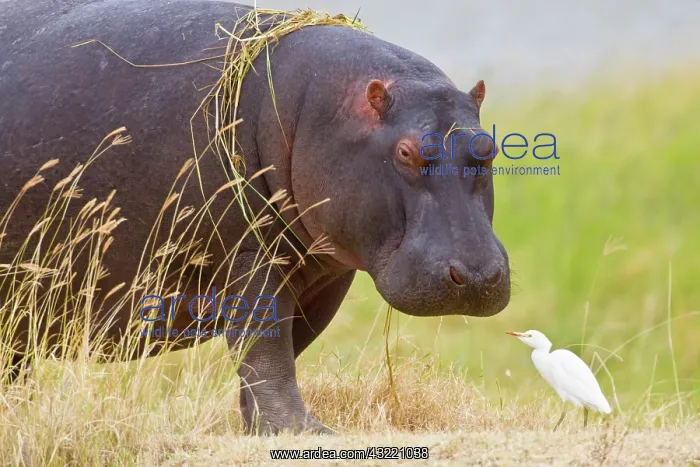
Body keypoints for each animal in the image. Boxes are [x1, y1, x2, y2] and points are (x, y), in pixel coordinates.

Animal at [0, 0, 511, 434]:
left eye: (489, 146)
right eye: (405, 152)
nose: (477, 276)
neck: (315, 109)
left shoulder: (325, 274)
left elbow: (282, 351)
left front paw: (259, 429)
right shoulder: (248, 257)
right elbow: (267, 348)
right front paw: (303, 431)